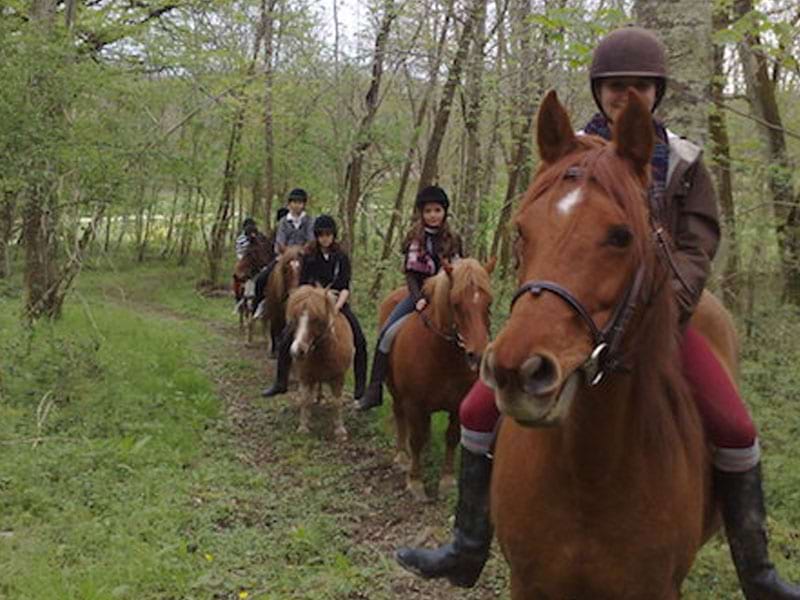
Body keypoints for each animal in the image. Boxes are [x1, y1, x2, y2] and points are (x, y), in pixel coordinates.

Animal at [284, 284, 354, 442]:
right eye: (295, 318)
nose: (297, 350)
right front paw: (303, 426)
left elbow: (337, 402)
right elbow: (304, 399)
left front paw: (340, 430)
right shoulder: (305, 376)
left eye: (316, 319)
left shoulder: (338, 377)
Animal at [380, 258, 494, 502]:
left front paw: (447, 481)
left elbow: (452, 436)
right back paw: (402, 457)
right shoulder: (414, 403)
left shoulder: (458, 404)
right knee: (400, 416)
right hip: (395, 391)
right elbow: (415, 438)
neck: (442, 355)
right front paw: (415, 482)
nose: (478, 355)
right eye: (456, 303)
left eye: (488, 302)